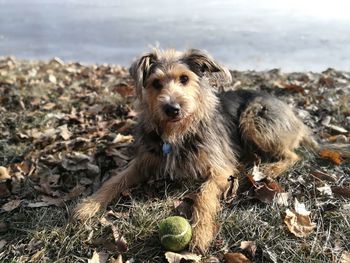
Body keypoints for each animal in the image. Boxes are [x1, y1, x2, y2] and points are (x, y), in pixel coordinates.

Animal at [74, 48, 350, 254]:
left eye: (185, 79)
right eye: (156, 83)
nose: (172, 108)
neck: (178, 133)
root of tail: (296, 118)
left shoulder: (220, 168)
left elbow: (204, 195)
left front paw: (201, 233)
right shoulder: (145, 160)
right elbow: (114, 180)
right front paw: (87, 207)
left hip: (254, 119)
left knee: (293, 155)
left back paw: (270, 167)